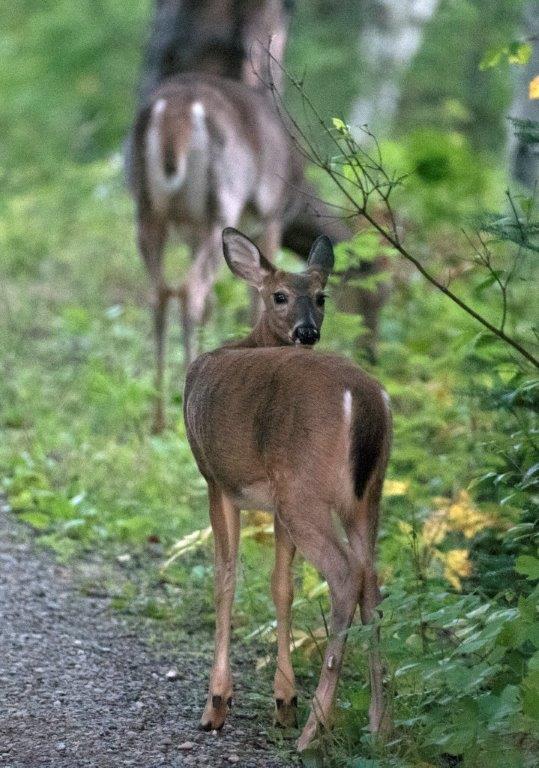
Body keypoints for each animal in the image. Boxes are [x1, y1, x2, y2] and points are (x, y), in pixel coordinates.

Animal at [184, 228, 392, 751]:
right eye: (280, 295)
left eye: (321, 297)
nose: (307, 332)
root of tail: (364, 400)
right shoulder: (274, 501)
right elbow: (282, 585)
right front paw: (283, 702)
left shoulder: (217, 479)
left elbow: (226, 579)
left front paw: (217, 703)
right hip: (364, 496)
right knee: (372, 582)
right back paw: (380, 725)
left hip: (306, 490)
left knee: (345, 575)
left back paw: (316, 730)